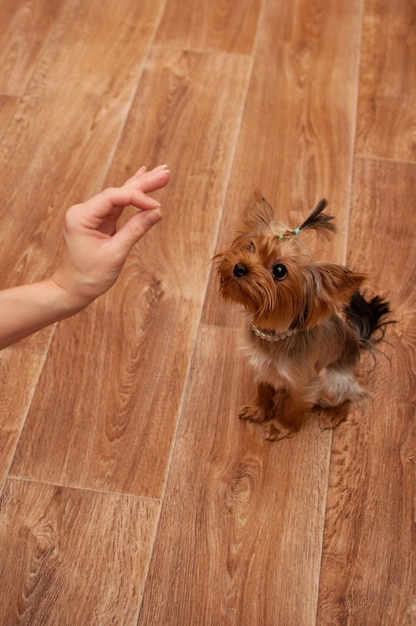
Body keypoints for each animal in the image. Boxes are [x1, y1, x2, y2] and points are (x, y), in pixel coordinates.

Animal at [214, 190, 390, 438]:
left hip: (333, 382)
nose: (239, 267)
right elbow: (264, 388)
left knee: (351, 396)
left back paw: (334, 414)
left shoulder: (306, 383)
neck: (273, 335)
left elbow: (294, 407)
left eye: (279, 271)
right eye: (250, 246)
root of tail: (356, 340)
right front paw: (259, 409)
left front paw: (280, 427)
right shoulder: (262, 366)